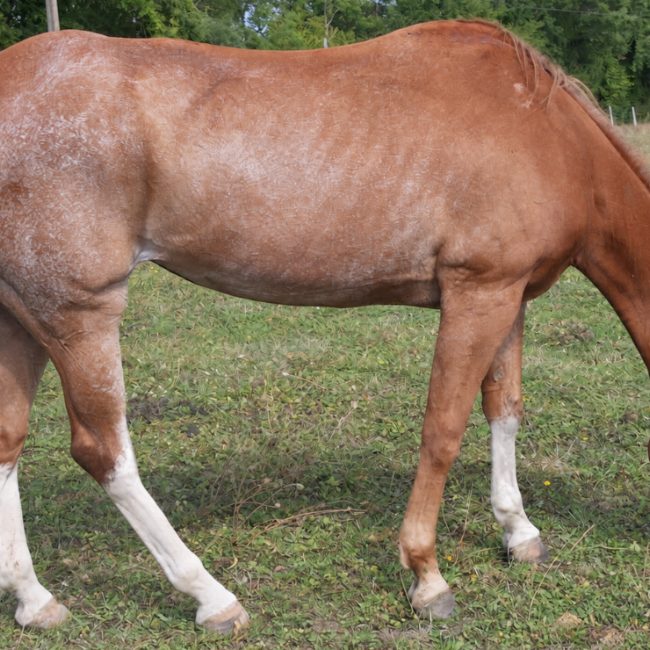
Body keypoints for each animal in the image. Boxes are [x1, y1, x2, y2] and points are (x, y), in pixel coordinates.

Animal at [0, 19, 648, 633]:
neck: (545, 133)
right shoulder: (477, 293)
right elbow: (442, 431)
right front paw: (427, 575)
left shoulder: (509, 296)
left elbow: (504, 410)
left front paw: (519, 532)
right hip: (76, 313)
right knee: (105, 453)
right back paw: (212, 597)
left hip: (21, 319)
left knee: (9, 442)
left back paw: (36, 601)